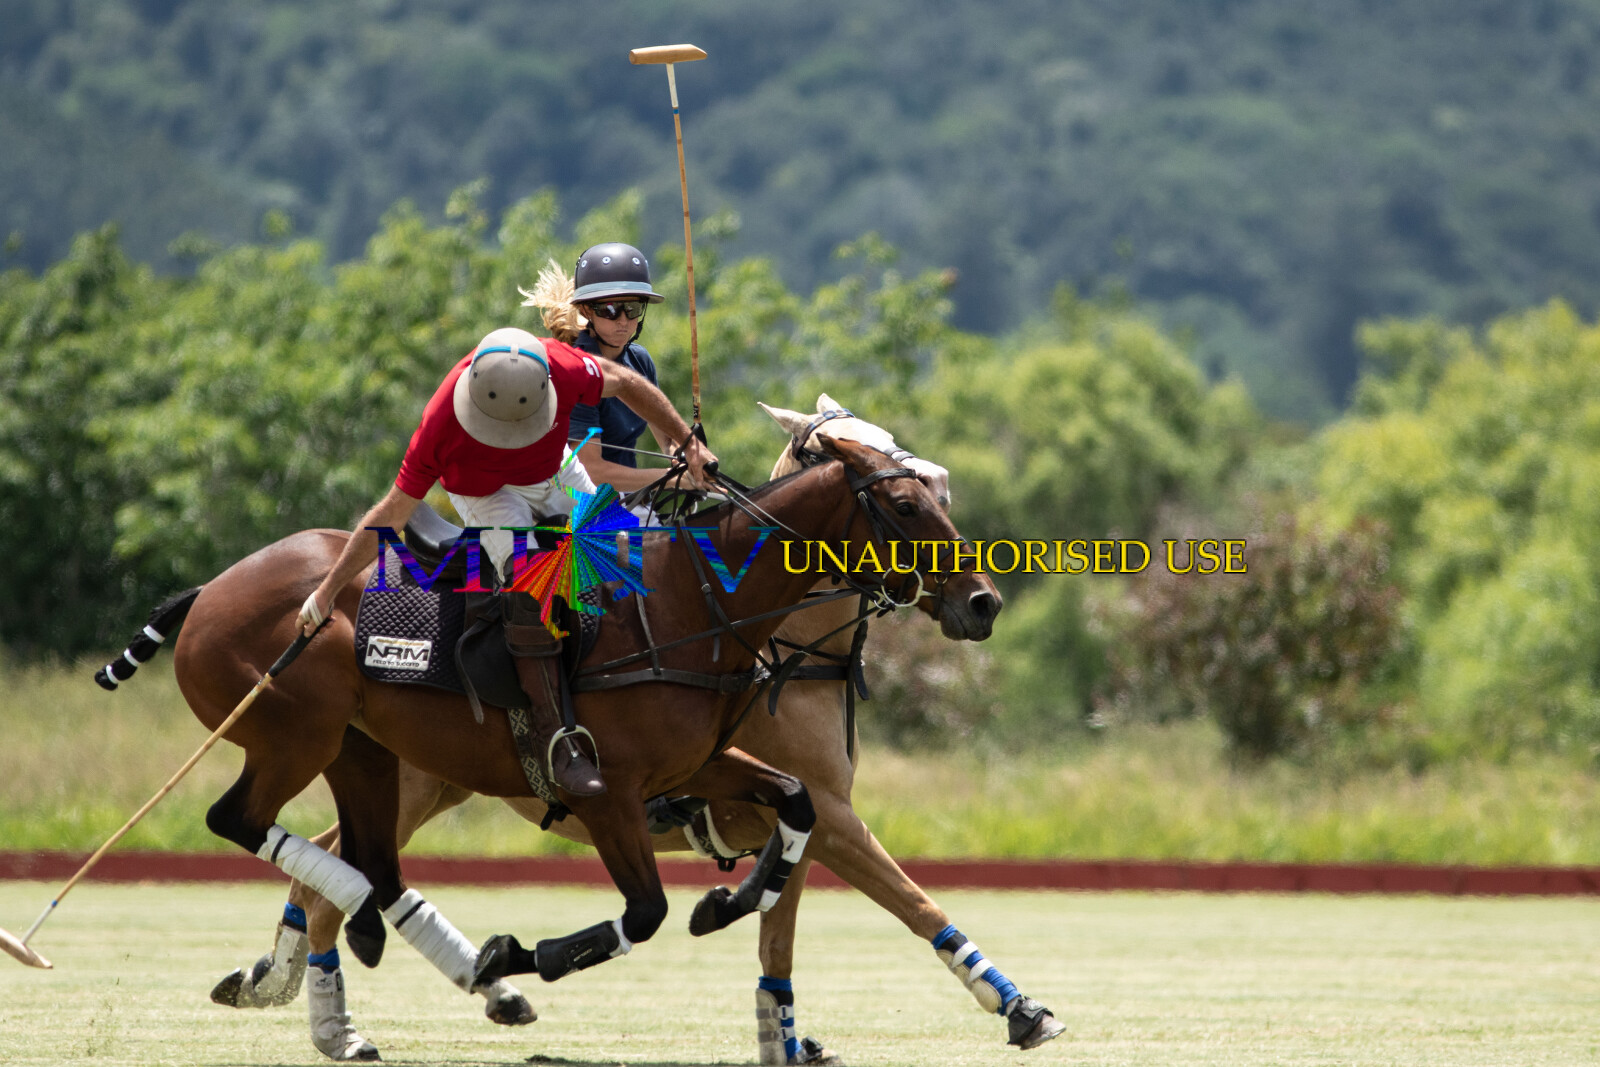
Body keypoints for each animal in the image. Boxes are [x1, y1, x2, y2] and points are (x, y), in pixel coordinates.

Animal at [189, 397, 1063, 1063]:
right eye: (909, 502)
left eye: (940, 485)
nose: (982, 602)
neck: (726, 617)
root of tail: (213, 587)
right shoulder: (638, 799)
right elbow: (904, 900)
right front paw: (1021, 1008)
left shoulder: (752, 786)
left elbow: (779, 901)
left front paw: (769, 1002)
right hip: (342, 751)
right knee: (322, 870)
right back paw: (349, 1010)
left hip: (395, 766)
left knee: (344, 866)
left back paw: (315, 983)